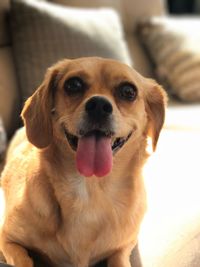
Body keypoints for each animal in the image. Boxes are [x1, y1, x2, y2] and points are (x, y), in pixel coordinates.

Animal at [0, 57, 166, 267]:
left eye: (128, 91)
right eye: (73, 85)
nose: (99, 105)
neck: (90, 189)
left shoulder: (125, 245)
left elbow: (119, 259)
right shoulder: (7, 239)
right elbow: (23, 260)